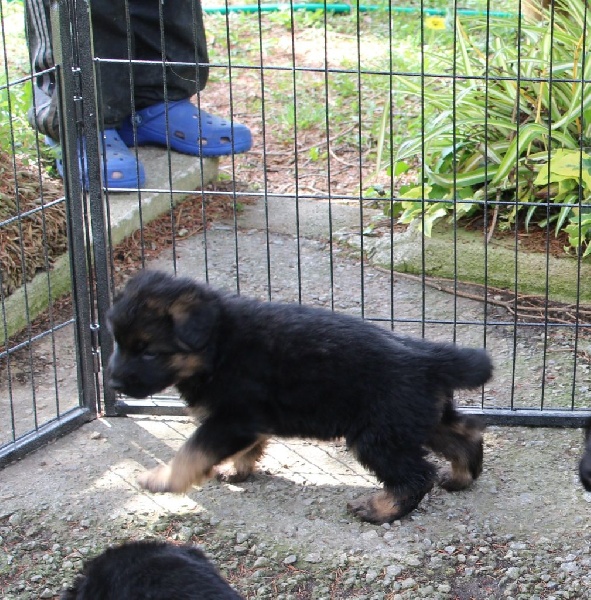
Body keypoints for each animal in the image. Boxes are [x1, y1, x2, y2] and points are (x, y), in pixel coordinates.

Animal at [107, 270, 494, 524]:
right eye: (118, 343)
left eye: (149, 352)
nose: (111, 384)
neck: (218, 344)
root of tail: (429, 359)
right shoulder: (247, 422)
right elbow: (244, 448)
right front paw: (237, 470)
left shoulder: (232, 419)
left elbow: (192, 451)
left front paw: (162, 479)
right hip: (414, 420)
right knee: (466, 434)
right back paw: (460, 477)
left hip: (378, 435)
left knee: (417, 475)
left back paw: (379, 510)